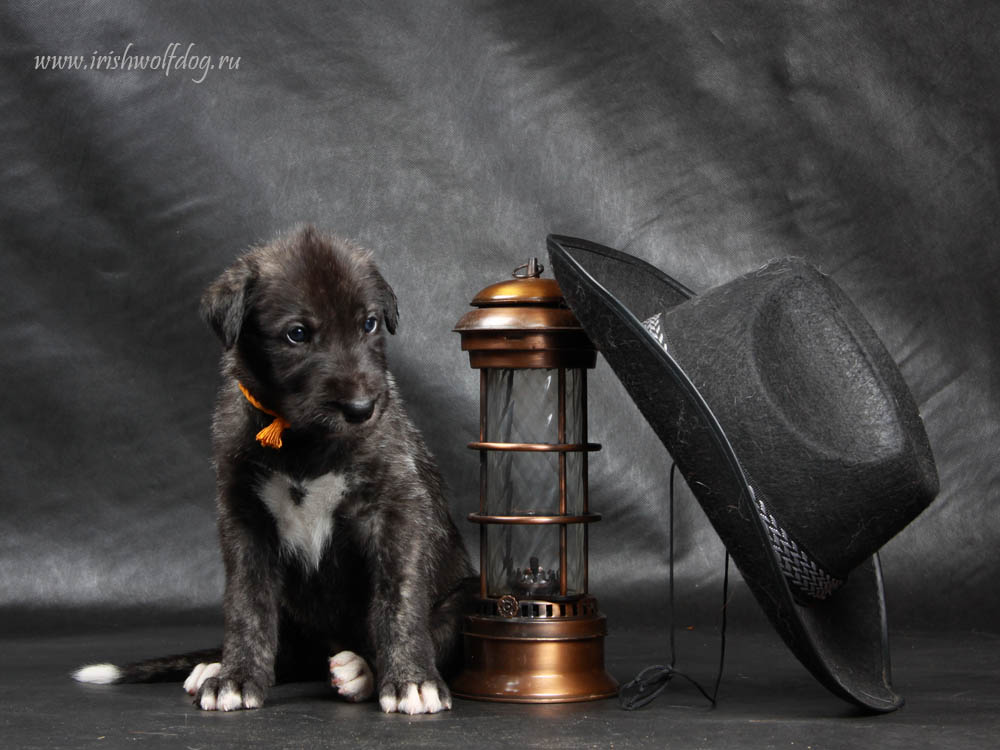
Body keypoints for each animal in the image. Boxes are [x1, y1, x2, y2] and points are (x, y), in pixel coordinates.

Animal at [74, 225, 472, 716]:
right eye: (297, 334)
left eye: (370, 324)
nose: (362, 409)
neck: (303, 441)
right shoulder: (245, 519)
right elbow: (247, 604)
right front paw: (237, 677)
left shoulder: (396, 508)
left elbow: (399, 598)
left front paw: (411, 680)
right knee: (292, 651)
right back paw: (216, 666)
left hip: (463, 601)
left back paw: (359, 671)